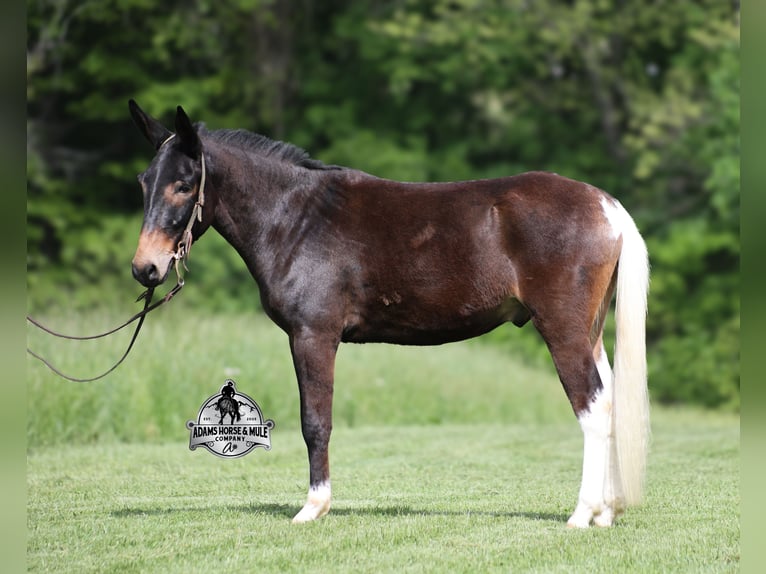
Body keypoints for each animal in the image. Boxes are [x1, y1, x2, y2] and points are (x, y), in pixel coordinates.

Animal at [128, 101, 649, 527]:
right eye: (143, 182)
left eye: (183, 185)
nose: (145, 268)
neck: (297, 219)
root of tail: (608, 206)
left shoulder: (312, 335)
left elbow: (315, 421)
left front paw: (313, 508)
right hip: (590, 335)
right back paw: (606, 513)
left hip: (563, 332)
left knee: (594, 409)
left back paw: (582, 515)